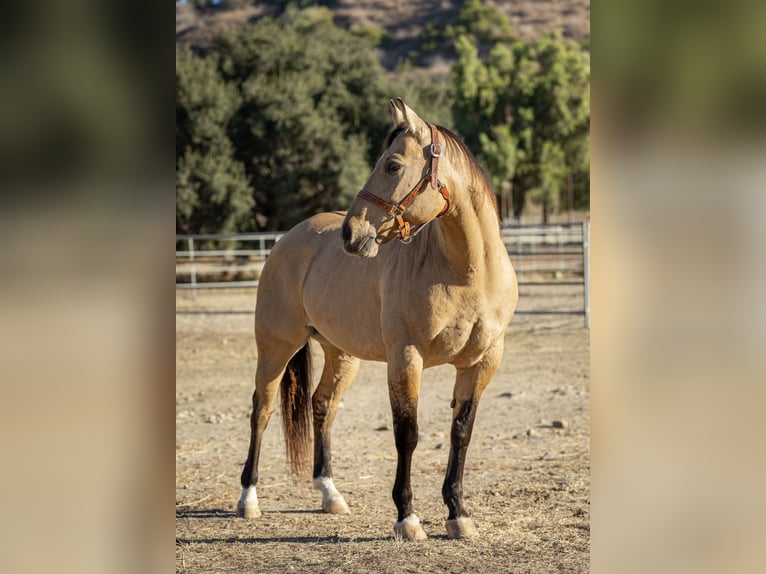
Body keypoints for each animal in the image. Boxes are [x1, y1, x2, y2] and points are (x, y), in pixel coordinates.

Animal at [237, 98, 518, 540]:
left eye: (392, 165)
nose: (350, 234)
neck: (467, 273)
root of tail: (288, 239)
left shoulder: (483, 361)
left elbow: (461, 432)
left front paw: (458, 513)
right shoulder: (406, 358)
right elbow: (408, 434)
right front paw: (407, 517)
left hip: (341, 354)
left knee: (323, 405)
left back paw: (330, 494)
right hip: (275, 348)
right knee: (261, 411)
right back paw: (249, 499)